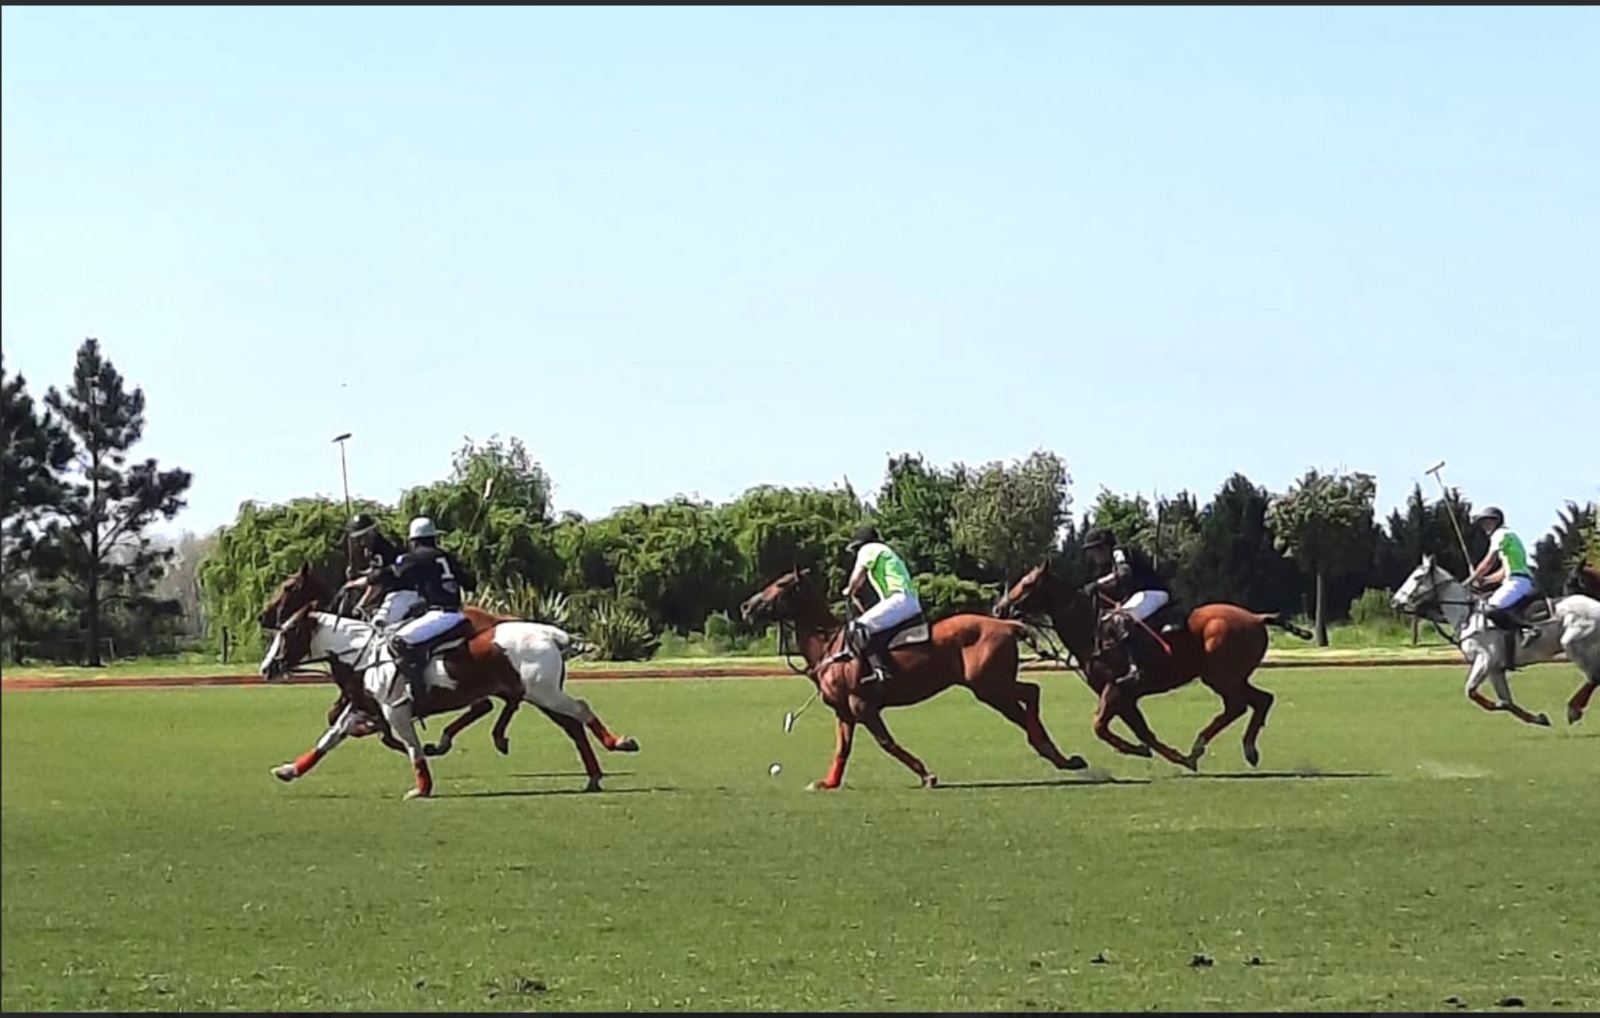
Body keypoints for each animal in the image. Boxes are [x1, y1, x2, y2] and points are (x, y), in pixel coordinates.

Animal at [260, 601, 636, 800]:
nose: (266, 668)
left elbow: (412, 748)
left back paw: (619, 743)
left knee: (580, 710)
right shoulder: (363, 708)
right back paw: (592, 776)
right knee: (572, 724)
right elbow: (328, 739)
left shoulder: (395, 711)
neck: (363, 656)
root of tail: (551, 633)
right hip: (539, 693)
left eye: (287, 632)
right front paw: (289, 770)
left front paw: (421, 788)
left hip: (544, 692)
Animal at [736, 569, 1088, 790]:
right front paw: (828, 782)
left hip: (990, 685)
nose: (746, 606)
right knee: (1024, 706)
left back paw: (1054, 753)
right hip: (991, 689)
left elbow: (887, 742)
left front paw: (927, 775)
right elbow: (842, 748)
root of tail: (1006, 625)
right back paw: (1057, 756)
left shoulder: (862, 706)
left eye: (781, 584)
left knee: (1032, 692)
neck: (830, 645)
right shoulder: (844, 711)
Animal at [985, 560, 1312, 768]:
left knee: (1243, 704)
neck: (1091, 631)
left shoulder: (1117, 688)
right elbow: (1143, 732)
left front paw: (1142, 751)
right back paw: (1215, 749)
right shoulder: (1125, 696)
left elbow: (1099, 726)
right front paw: (1170, 756)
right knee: (1258, 701)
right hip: (1228, 676)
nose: (999, 609)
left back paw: (1225, 747)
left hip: (1222, 676)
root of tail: (1256, 617)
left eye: (1027, 583)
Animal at [1388, 557, 1600, 723]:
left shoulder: (1485, 660)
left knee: (1594, 677)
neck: (1467, 616)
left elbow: (1471, 692)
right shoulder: (1495, 669)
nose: (1395, 602)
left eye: (1417, 578)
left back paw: (1573, 710)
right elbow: (1506, 702)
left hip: (1573, 643)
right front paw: (1538, 718)